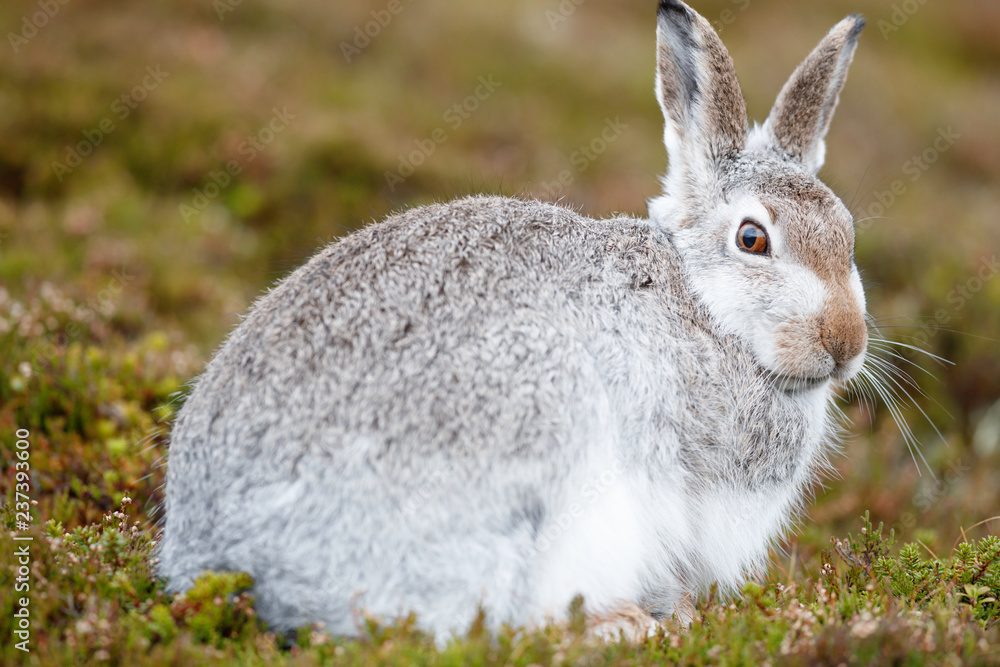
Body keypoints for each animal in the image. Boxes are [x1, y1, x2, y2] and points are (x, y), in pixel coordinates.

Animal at [158, 0, 868, 640]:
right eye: (752, 239)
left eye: (847, 234)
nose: (845, 342)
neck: (702, 305)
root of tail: (233, 563)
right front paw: (679, 615)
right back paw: (623, 626)